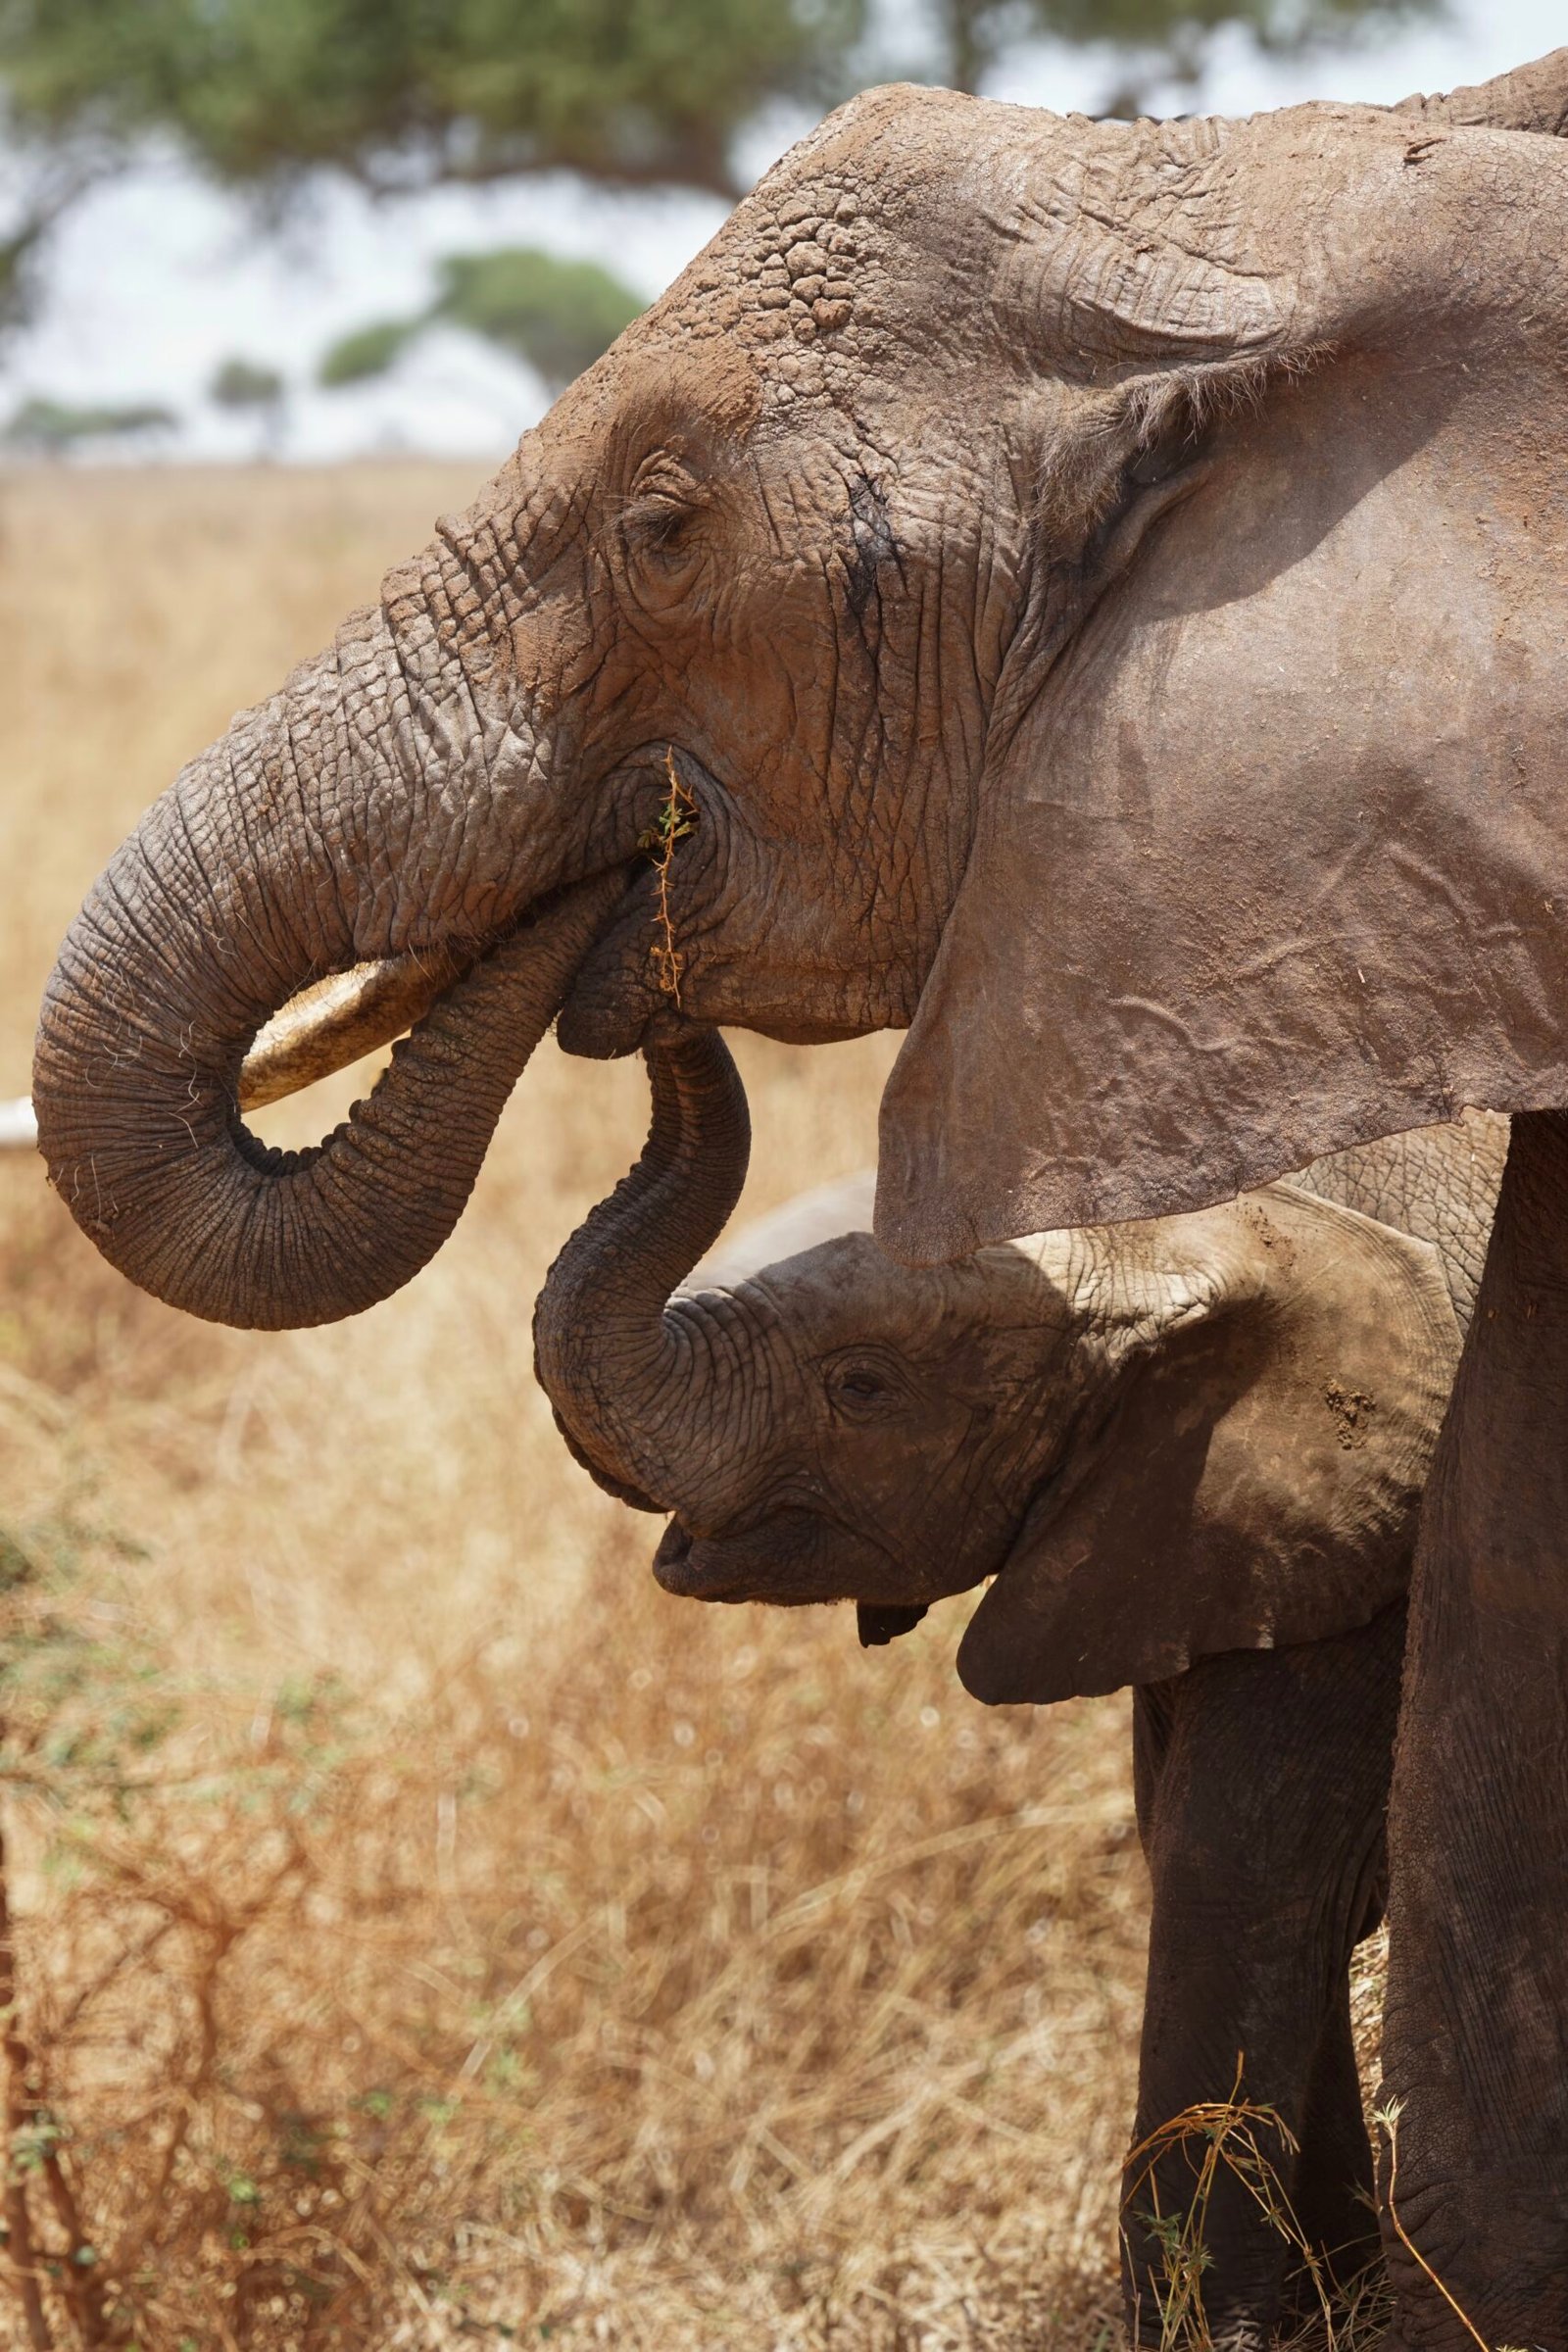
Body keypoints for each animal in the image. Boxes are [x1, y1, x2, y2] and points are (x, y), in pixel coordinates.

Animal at [533, 1025, 1507, 2339]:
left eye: (862, 1387)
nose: (648, 1007)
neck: (1229, 1226)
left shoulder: (1373, 1545)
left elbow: (1236, 1874)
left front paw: (1221, 2334)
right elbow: (1198, 1850)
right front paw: (1328, 2314)